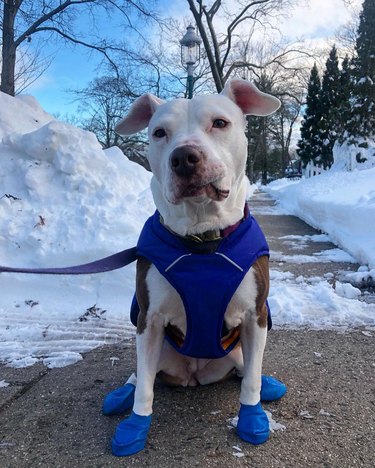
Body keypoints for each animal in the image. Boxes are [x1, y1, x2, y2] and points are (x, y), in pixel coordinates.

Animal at [103, 79, 284, 458]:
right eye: (159, 132)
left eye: (220, 123)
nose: (184, 157)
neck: (202, 240)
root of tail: (194, 374)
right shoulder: (149, 318)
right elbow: (145, 385)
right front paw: (135, 427)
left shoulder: (255, 316)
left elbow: (251, 380)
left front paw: (252, 418)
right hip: (156, 347)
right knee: (140, 374)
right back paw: (122, 395)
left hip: (237, 351)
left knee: (247, 369)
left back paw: (267, 384)